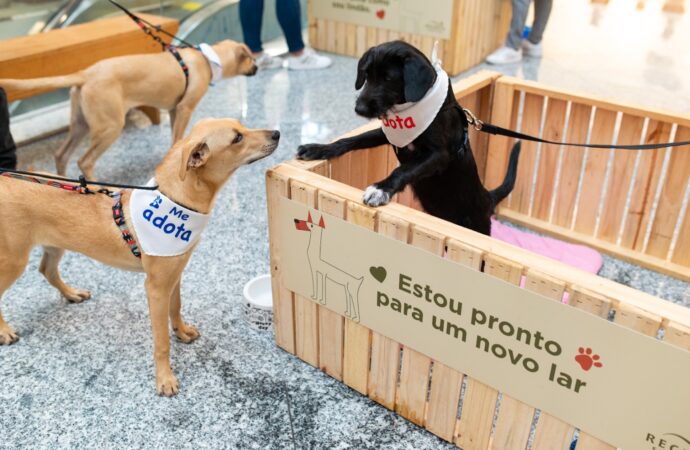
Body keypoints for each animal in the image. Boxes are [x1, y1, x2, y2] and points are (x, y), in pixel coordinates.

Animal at [0, 40, 258, 178]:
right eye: (250, 59)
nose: (257, 68)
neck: (206, 59)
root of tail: (86, 73)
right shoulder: (185, 107)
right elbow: (177, 135)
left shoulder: (174, 110)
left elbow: (174, 137)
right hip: (110, 127)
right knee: (85, 161)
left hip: (81, 125)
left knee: (61, 154)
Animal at [0, 118, 280, 396]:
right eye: (237, 139)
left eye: (242, 127)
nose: (277, 133)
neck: (174, 198)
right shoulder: (156, 288)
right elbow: (161, 341)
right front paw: (165, 378)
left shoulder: (174, 273)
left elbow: (176, 307)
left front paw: (182, 331)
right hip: (13, 259)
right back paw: (5, 331)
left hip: (55, 244)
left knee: (47, 270)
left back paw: (72, 293)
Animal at [296, 41, 516, 236]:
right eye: (366, 74)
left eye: (388, 78)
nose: (359, 109)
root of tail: (487, 197)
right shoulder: (387, 134)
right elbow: (352, 139)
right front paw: (318, 148)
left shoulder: (438, 155)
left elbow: (403, 169)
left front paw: (380, 188)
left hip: (478, 224)